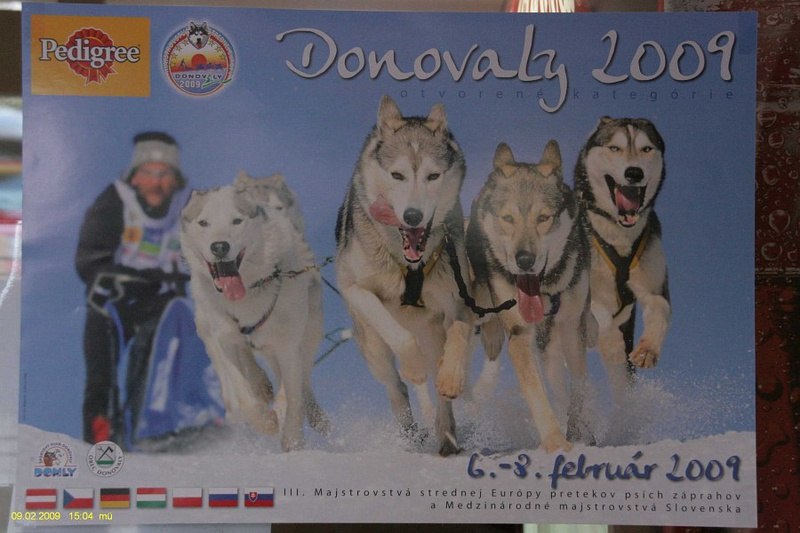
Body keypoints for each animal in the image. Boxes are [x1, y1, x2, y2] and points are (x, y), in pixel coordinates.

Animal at [180, 183, 329, 451]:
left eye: (237, 221)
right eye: (204, 222)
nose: (219, 246)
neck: (247, 295)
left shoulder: (289, 346)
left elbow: (292, 395)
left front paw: (292, 438)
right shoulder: (226, 341)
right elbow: (243, 395)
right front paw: (266, 420)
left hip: (308, 332)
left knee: (302, 380)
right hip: (212, 331)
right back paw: (260, 388)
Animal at [335, 95, 473, 456]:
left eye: (432, 176)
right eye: (397, 175)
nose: (413, 216)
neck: (410, 267)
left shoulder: (460, 298)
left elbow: (458, 337)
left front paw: (452, 378)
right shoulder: (356, 289)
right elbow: (401, 339)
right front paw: (413, 366)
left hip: (433, 333)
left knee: (438, 385)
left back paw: (446, 434)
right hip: (373, 349)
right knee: (395, 386)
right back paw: (410, 431)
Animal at [466, 141, 592, 453]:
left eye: (543, 218)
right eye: (508, 218)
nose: (524, 260)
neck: (544, 289)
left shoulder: (573, 326)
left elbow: (579, 387)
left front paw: (580, 432)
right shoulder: (520, 333)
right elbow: (537, 395)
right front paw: (557, 443)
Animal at [574, 116, 671, 404]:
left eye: (646, 148)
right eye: (614, 148)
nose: (634, 173)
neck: (618, 236)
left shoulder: (653, 287)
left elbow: (661, 308)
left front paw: (648, 349)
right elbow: (599, 313)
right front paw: (611, 343)